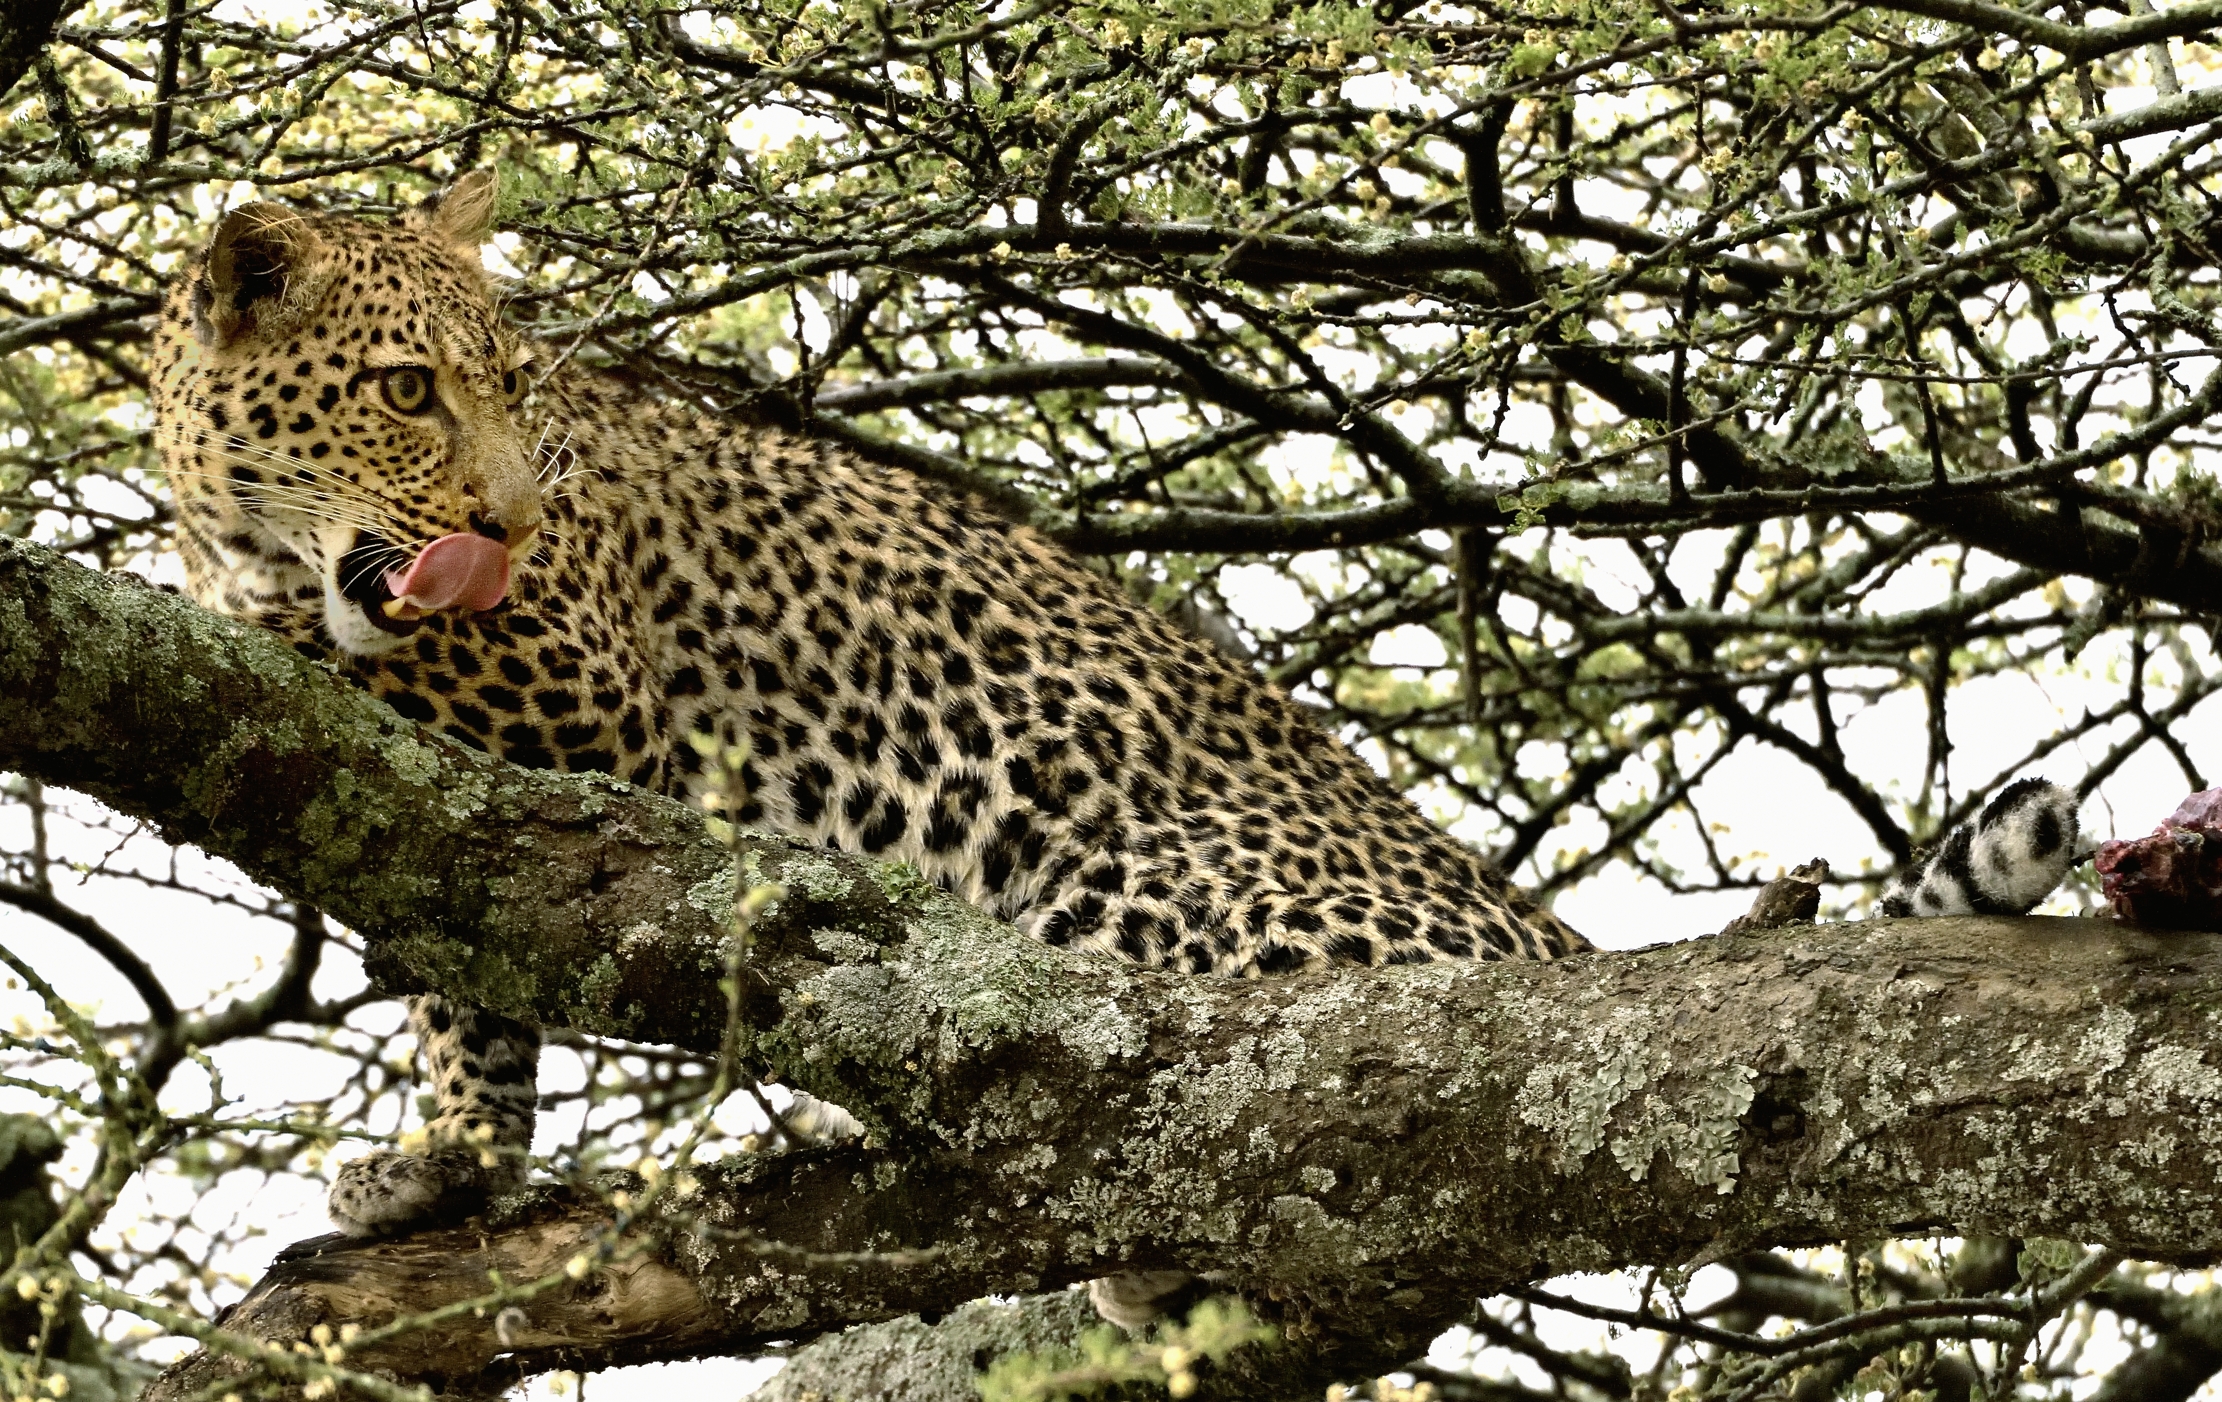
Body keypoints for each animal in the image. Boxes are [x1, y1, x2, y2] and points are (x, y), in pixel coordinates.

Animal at [147, 172, 2080, 1326]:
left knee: (1249, 1103)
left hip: (1144, 886)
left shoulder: (575, 678)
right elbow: (460, 988)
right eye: (408, 389)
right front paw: (443, 1171)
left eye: (518, 388)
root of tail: (1551, 944)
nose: (509, 514)